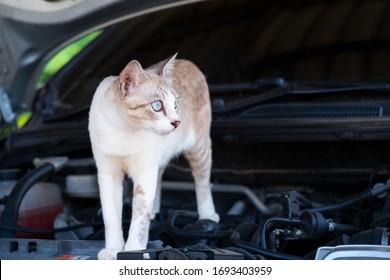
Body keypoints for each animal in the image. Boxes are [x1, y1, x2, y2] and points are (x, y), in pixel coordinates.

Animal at [88, 53, 219, 260]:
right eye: (157, 106)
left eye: (175, 104)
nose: (177, 122)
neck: (122, 129)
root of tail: (188, 62)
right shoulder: (108, 174)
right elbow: (111, 216)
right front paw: (113, 249)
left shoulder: (144, 172)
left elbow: (139, 218)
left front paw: (133, 250)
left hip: (199, 149)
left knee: (203, 183)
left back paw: (208, 215)